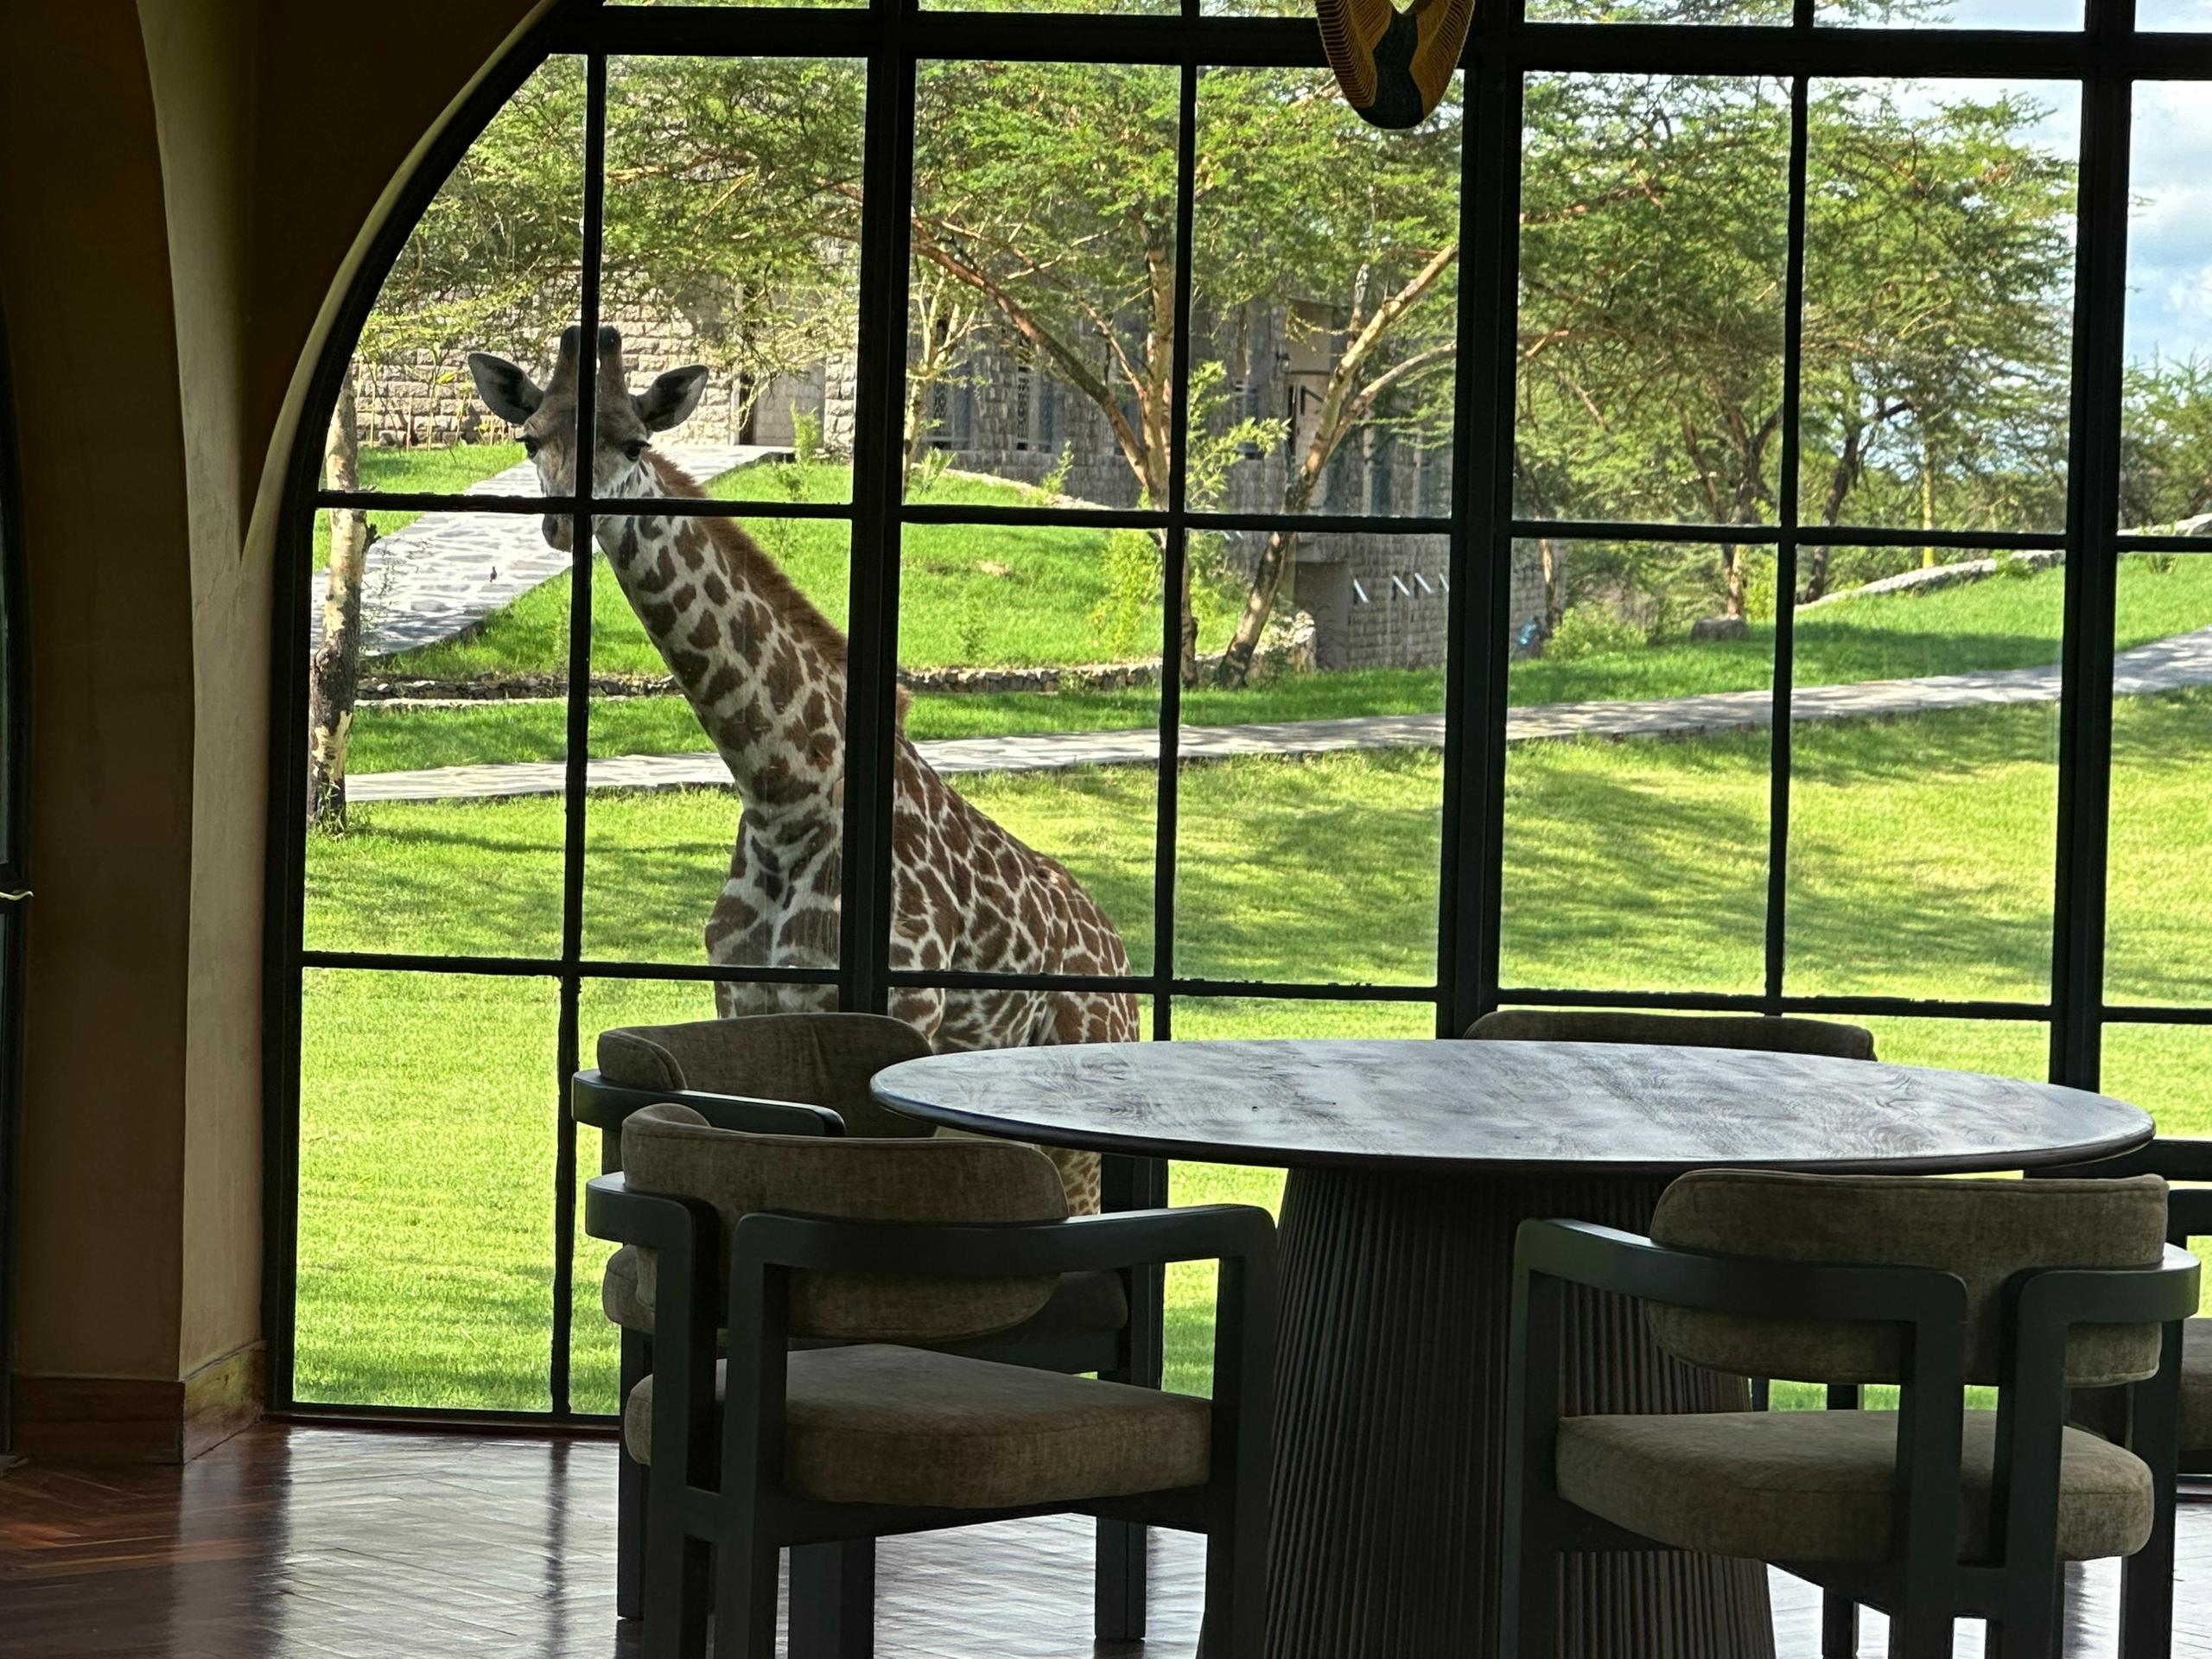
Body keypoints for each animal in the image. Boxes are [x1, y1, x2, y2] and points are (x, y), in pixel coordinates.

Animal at [468, 326, 1135, 1208]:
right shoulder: (745, 1003)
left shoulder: (904, 1008)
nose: (564, 527)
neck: (786, 794)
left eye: (635, 441)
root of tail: (1120, 961)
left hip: (1069, 1125)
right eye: (530, 438)